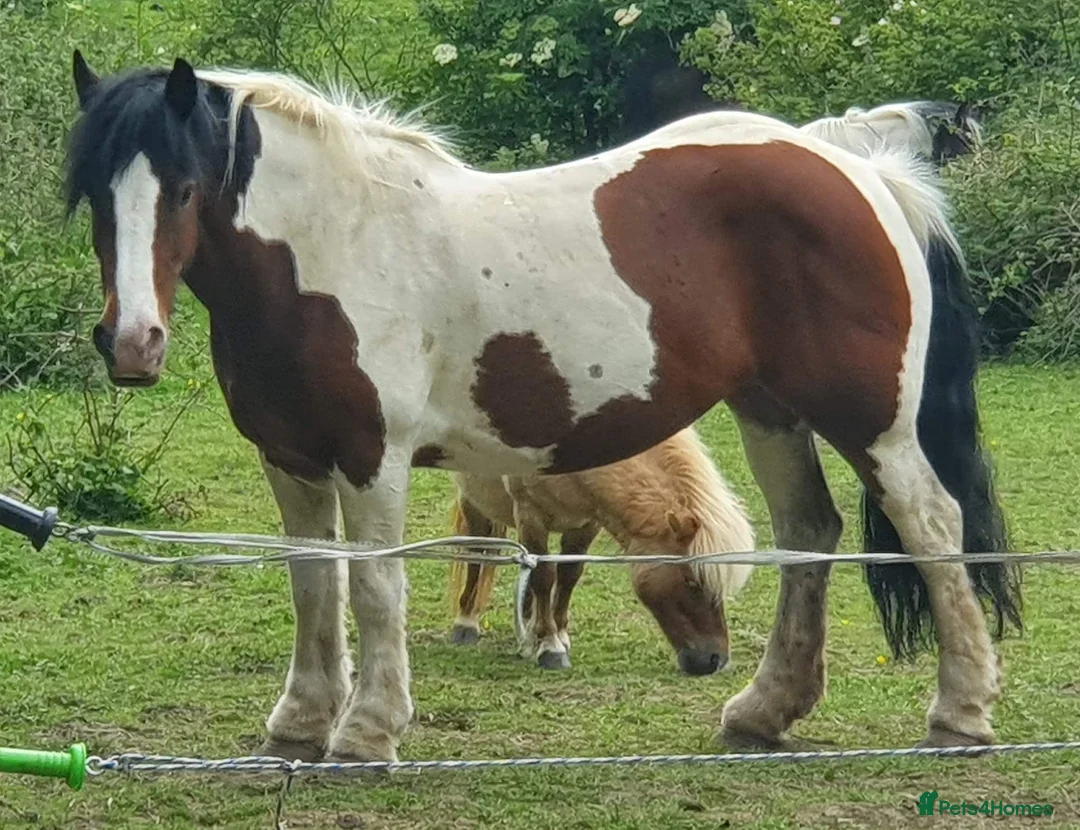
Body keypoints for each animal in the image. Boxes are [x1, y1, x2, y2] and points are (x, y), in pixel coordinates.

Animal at [447, 426, 755, 674]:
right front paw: (550, 647)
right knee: (477, 553)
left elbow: (569, 574)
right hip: (474, 501)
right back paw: (467, 623)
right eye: (692, 582)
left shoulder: (588, 522)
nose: (716, 660)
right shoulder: (530, 516)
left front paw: (557, 634)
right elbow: (544, 577)